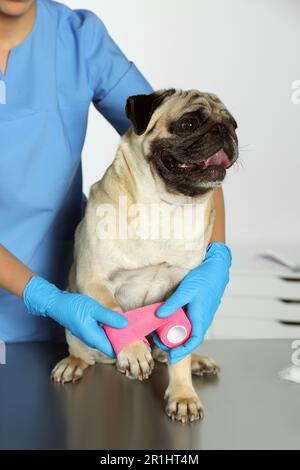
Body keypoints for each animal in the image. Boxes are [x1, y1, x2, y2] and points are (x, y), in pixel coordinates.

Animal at [52, 88, 239, 422]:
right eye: (189, 123)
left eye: (233, 125)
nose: (223, 131)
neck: (166, 205)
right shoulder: (95, 280)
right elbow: (116, 314)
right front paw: (134, 351)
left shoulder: (185, 294)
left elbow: (179, 352)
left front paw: (183, 395)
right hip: (75, 326)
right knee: (82, 351)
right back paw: (74, 364)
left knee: (172, 353)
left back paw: (196, 361)